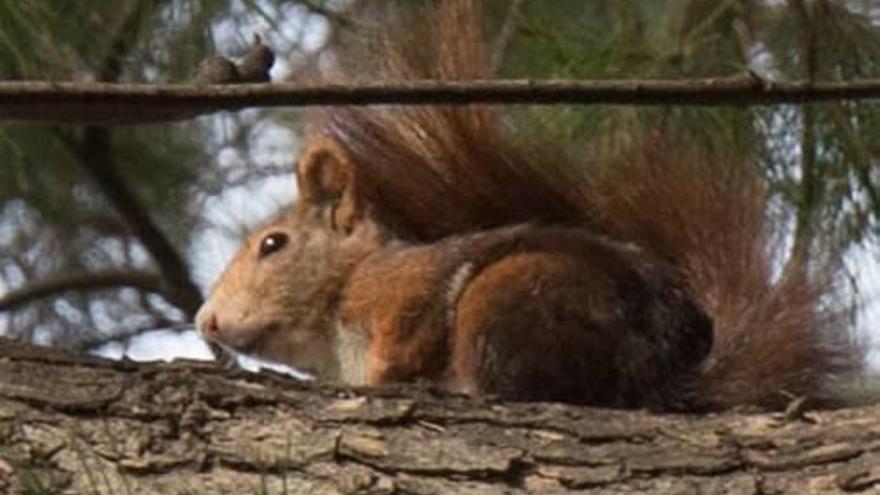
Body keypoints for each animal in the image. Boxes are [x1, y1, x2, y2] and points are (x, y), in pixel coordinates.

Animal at [196, 0, 864, 410]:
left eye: (273, 245)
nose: (205, 322)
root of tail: (668, 366)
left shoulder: (404, 292)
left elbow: (411, 335)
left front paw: (390, 377)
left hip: (508, 300)